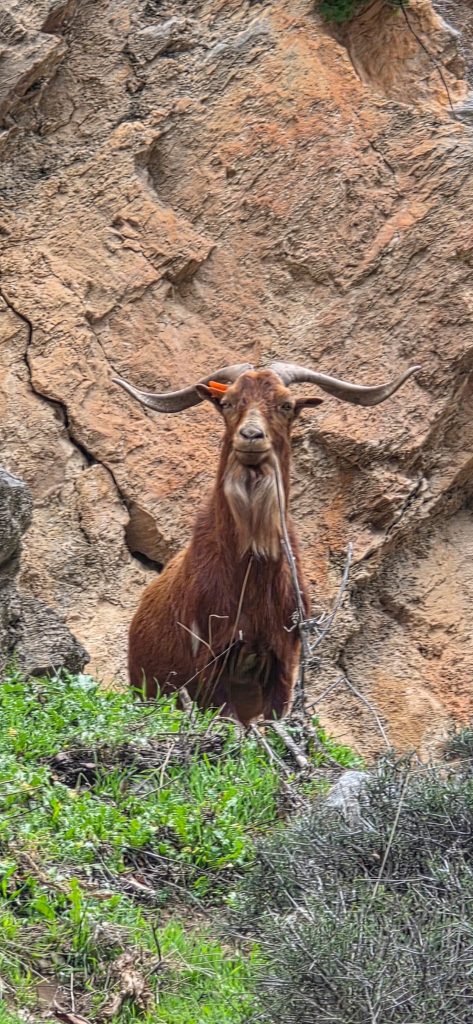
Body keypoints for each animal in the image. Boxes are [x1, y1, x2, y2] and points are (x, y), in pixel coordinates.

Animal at [114, 360, 419, 725]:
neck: (249, 574)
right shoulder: (212, 659)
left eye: (286, 405)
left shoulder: (283, 659)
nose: (250, 436)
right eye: (228, 402)